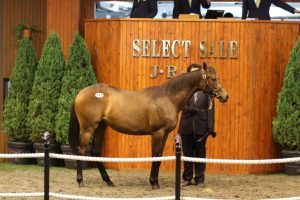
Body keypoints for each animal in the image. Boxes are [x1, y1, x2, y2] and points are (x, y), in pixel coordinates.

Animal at [68, 62, 227, 189]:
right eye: (213, 78)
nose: (225, 96)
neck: (167, 97)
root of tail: (80, 93)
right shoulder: (157, 133)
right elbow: (155, 156)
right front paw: (153, 183)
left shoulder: (165, 134)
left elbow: (160, 157)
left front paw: (155, 181)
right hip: (88, 128)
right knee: (81, 151)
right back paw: (80, 181)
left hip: (101, 127)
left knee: (95, 152)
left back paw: (108, 181)